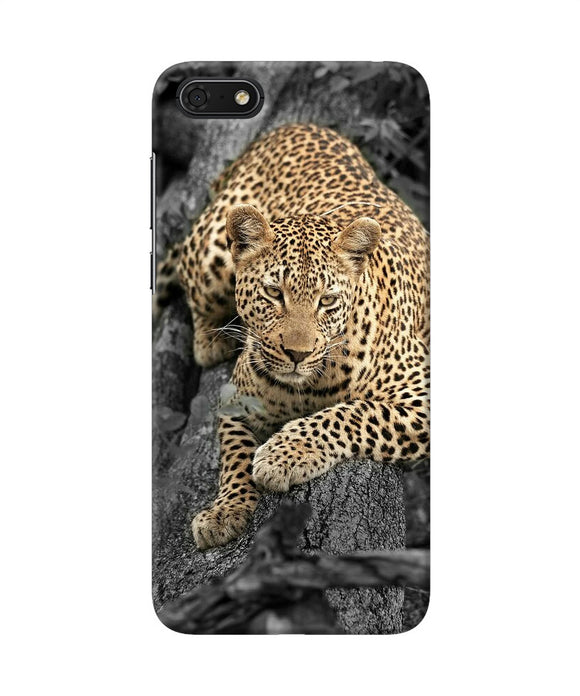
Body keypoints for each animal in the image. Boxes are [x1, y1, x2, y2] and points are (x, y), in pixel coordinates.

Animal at [158, 123, 430, 550]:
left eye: (327, 300)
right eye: (273, 293)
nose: (297, 354)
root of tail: (294, 126)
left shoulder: (422, 397)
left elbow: (353, 413)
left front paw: (283, 455)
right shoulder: (235, 400)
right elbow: (234, 455)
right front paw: (225, 511)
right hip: (211, 253)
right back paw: (211, 340)